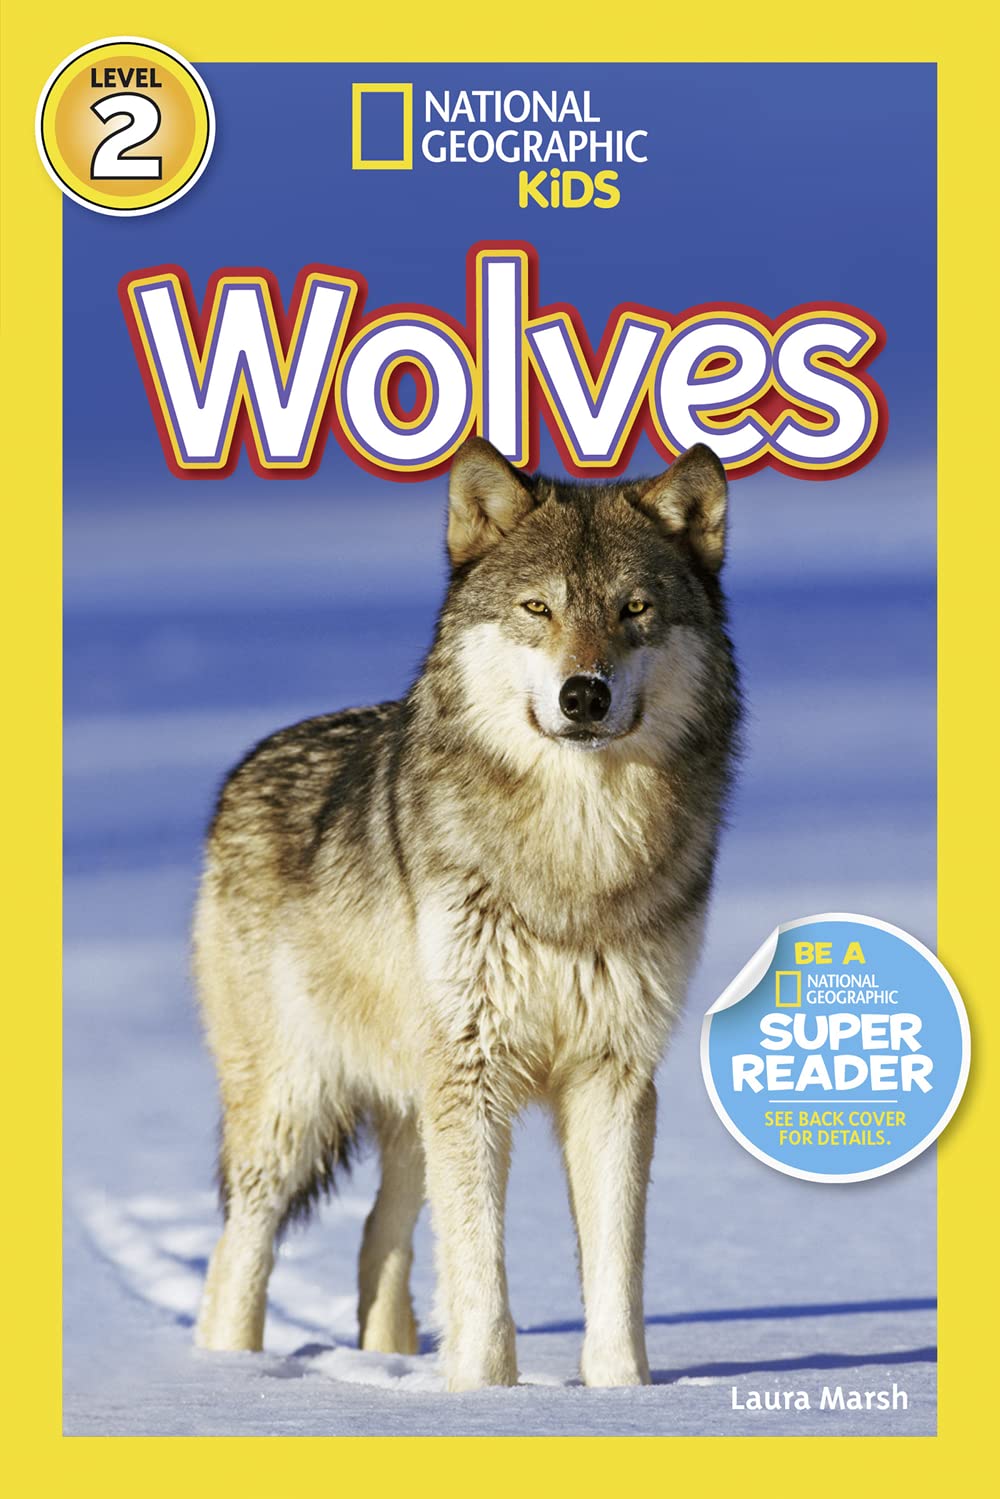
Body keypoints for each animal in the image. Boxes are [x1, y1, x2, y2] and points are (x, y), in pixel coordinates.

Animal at [193, 436, 740, 1390]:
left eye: (634, 609)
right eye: (537, 607)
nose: (584, 694)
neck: (573, 855)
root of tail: (245, 765)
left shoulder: (612, 1073)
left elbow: (615, 1268)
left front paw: (622, 1394)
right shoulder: (475, 1072)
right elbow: (481, 1272)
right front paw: (485, 1396)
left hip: (411, 1108)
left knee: (382, 1236)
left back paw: (387, 1360)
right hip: (295, 1106)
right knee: (239, 1251)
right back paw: (229, 1375)